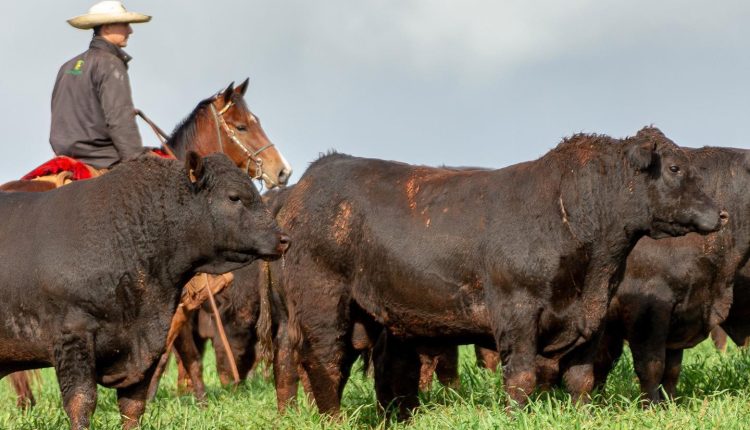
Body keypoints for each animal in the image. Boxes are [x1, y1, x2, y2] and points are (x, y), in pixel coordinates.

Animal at [262, 127, 724, 416]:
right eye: (676, 168)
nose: (720, 213)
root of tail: (315, 177)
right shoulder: (516, 311)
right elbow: (520, 377)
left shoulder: (591, 317)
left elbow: (581, 379)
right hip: (323, 301)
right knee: (324, 362)